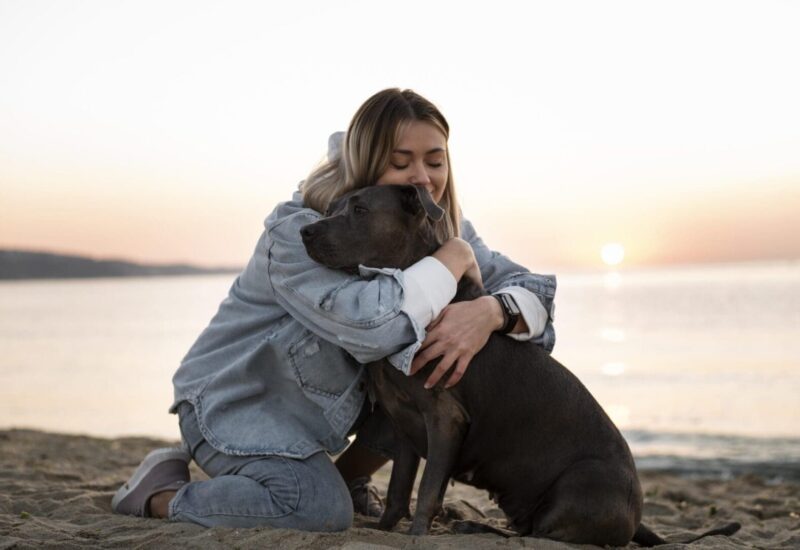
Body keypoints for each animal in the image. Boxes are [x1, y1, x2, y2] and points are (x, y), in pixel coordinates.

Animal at [300, 185, 736, 548]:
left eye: (359, 209)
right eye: (334, 207)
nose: (305, 231)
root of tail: (638, 516)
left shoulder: (445, 420)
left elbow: (426, 492)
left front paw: (418, 535)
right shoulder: (404, 425)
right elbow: (397, 492)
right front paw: (386, 531)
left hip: (577, 487)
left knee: (538, 536)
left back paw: (472, 525)